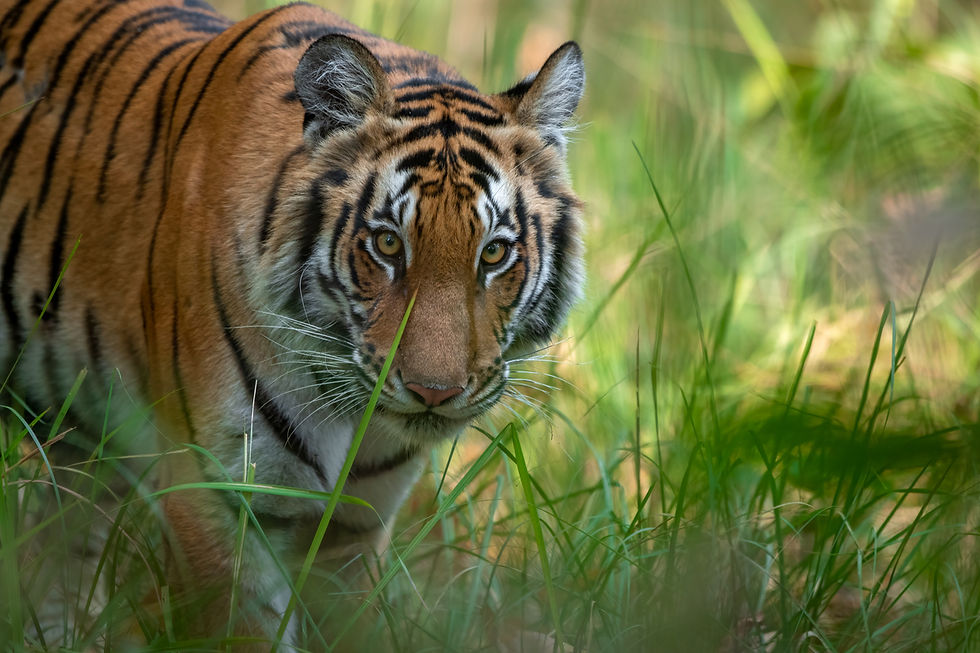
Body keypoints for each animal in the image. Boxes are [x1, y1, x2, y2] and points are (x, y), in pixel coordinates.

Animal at [0, 0, 584, 647]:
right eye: (387, 244)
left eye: (494, 253)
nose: (435, 392)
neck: (353, 412)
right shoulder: (222, 499)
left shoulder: (357, 525)